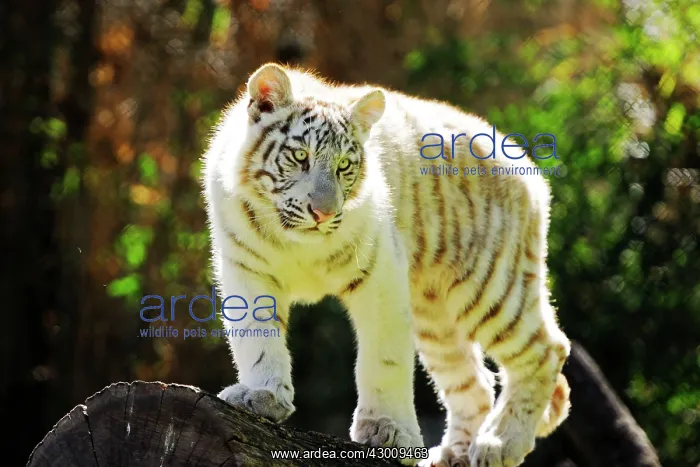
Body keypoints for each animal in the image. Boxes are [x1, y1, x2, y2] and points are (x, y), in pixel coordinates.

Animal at [202, 63, 571, 467]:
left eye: (344, 165)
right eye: (300, 157)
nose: (323, 213)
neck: (295, 242)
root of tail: (525, 164)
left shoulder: (380, 273)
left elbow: (384, 359)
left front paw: (388, 431)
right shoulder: (246, 269)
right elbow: (256, 336)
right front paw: (262, 396)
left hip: (489, 285)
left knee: (547, 349)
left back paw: (501, 443)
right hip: (435, 319)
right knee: (475, 383)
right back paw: (454, 455)